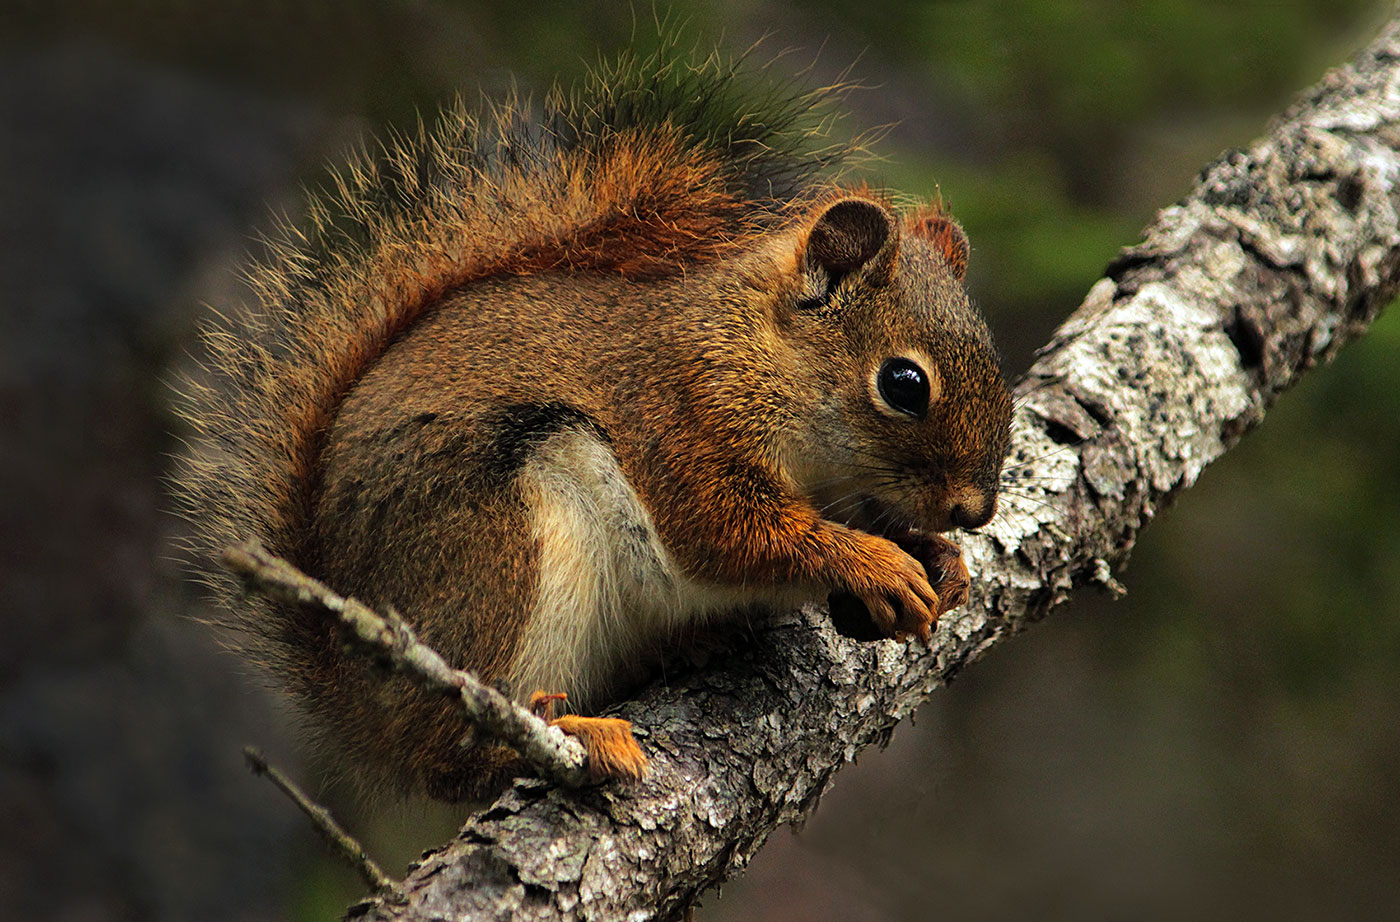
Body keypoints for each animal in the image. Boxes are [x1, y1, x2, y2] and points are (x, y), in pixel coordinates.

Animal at [177, 48, 1019, 800]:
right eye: (903, 384)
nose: (975, 510)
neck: (758, 358)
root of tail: (357, 703)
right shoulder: (677, 417)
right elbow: (731, 534)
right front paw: (872, 561)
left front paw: (942, 559)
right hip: (503, 551)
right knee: (458, 748)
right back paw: (571, 736)